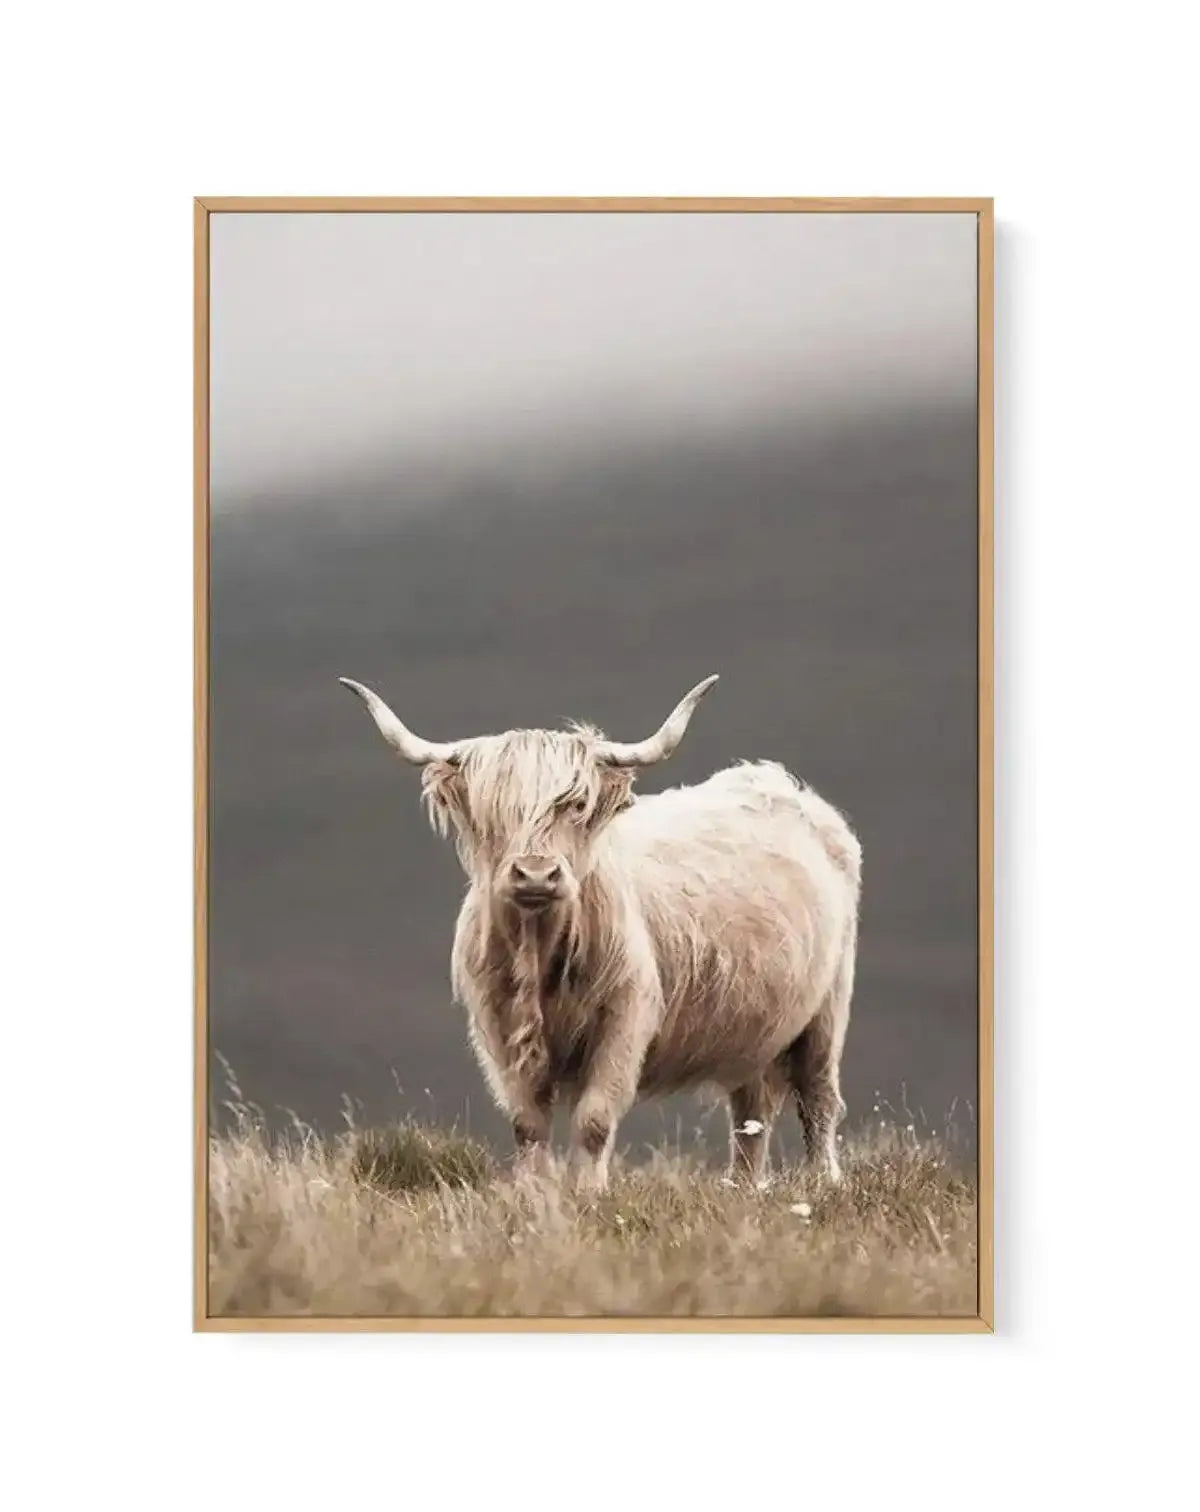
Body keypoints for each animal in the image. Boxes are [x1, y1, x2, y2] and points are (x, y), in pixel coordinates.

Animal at [340, 674, 861, 1192]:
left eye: (576, 804)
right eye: (494, 811)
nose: (535, 874)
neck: (541, 955)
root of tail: (774, 781)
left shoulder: (625, 1019)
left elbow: (594, 1119)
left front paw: (590, 1193)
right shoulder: (499, 1029)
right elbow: (527, 1124)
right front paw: (534, 1193)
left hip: (828, 1007)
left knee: (818, 1097)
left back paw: (825, 1182)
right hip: (754, 1027)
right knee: (751, 1112)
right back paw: (744, 1188)